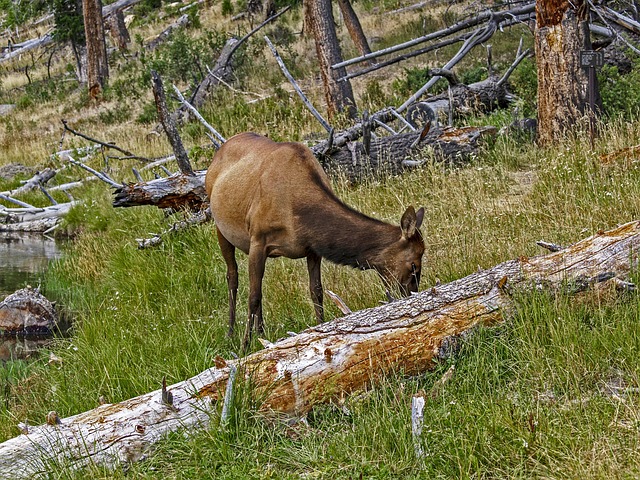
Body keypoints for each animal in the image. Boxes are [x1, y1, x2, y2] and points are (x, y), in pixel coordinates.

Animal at [206, 133, 424, 346]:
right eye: (413, 265)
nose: (411, 296)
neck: (299, 216)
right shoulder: (258, 239)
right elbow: (253, 297)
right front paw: (245, 345)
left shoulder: (312, 249)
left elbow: (316, 291)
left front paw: (319, 330)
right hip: (220, 227)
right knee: (232, 277)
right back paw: (231, 333)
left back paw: (261, 332)